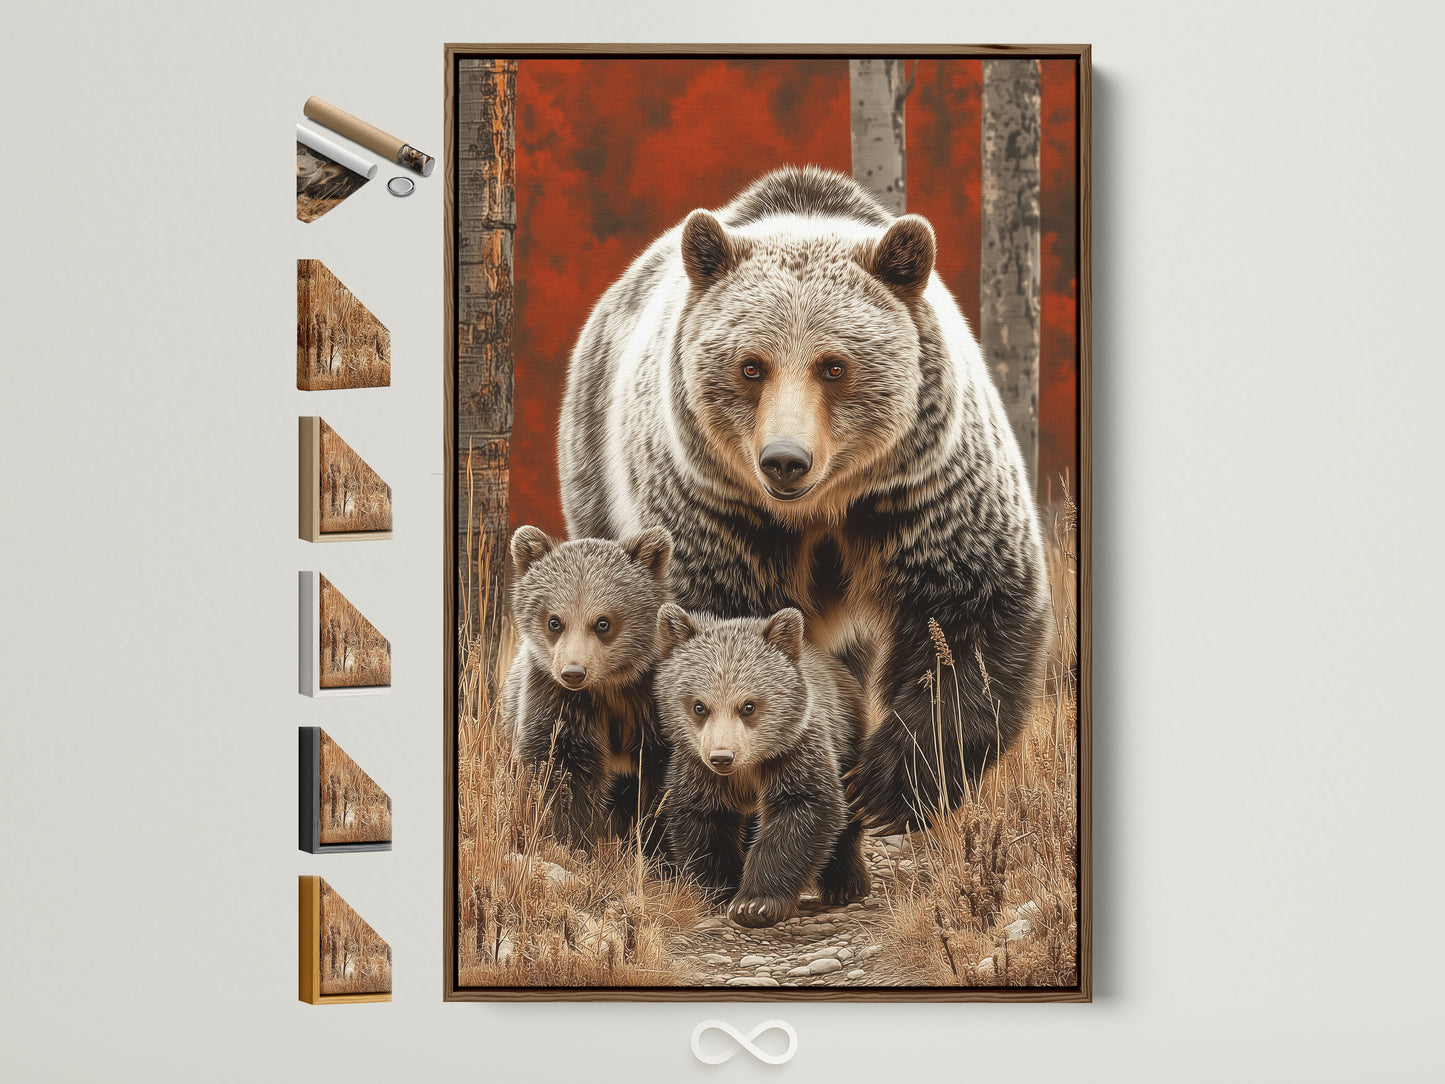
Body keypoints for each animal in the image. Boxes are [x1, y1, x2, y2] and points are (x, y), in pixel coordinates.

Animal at [500, 525, 674, 850]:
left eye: (603, 623)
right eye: (554, 621)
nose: (573, 673)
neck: (610, 686)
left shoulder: (653, 703)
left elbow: (665, 784)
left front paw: (655, 845)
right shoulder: (557, 700)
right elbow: (562, 770)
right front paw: (573, 839)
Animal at [558, 165, 1049, 835]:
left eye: (834, 366)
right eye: (751, 366)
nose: (785, 459)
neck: (818, 512)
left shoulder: (923, 490)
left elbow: (971, 611)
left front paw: (883, 788)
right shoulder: (717, 510)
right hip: (597, 472)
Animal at [653, 603, 870, 928]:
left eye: (748, 706)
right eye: (699, 706)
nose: (722, 757)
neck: (748, 769)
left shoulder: (794, 754)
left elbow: (801, 813)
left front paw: (755, 903)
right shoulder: (698, 771)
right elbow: (702, 824)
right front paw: (719, 893)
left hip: (848, 740)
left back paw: (846, 884)